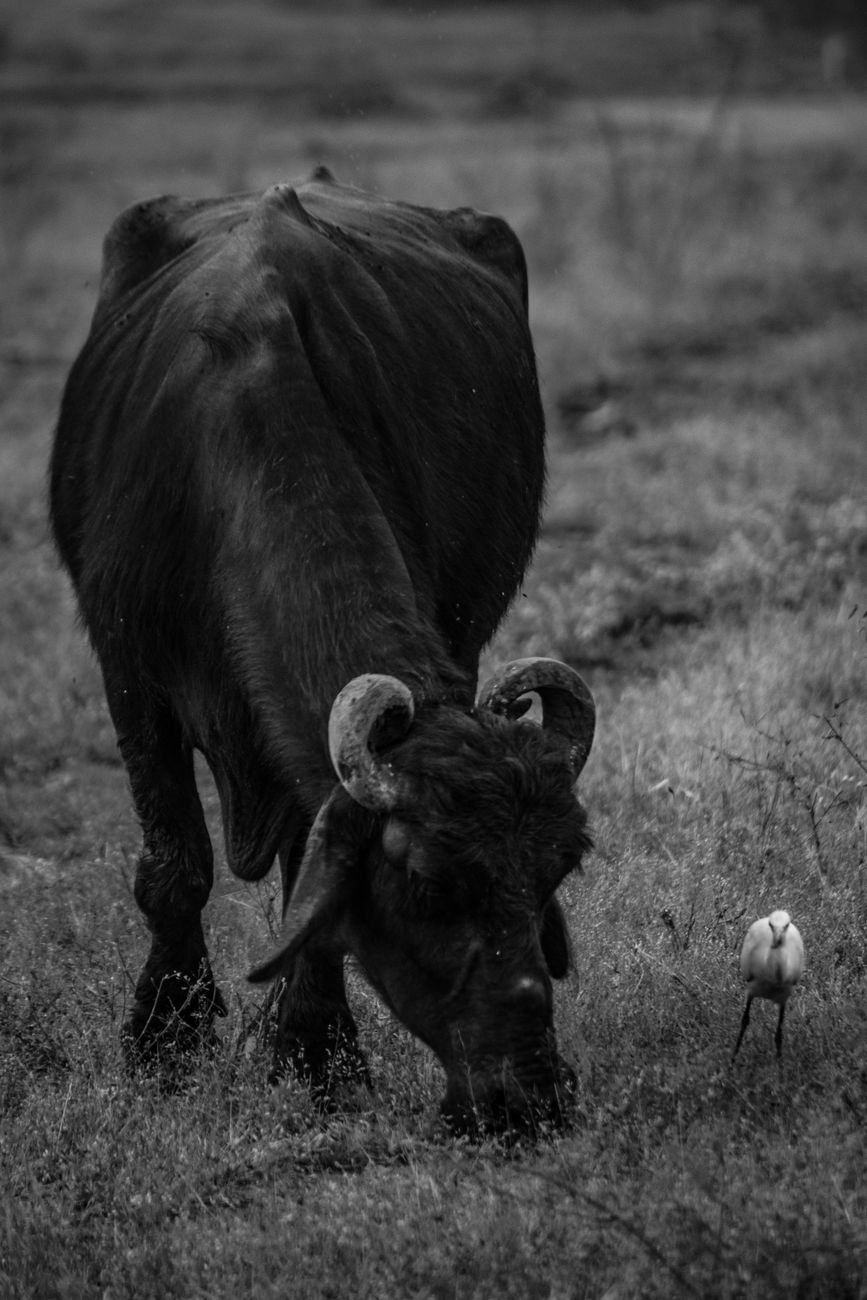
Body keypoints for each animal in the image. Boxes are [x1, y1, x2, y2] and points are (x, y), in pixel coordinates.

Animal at [49, 167, 596, 1134]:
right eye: (425, 882)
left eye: (556, 871)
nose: (528, 1097)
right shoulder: (130, 676)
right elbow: (173, 866)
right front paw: (164, 1040)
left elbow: (306, 873)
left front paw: (315, 1052)